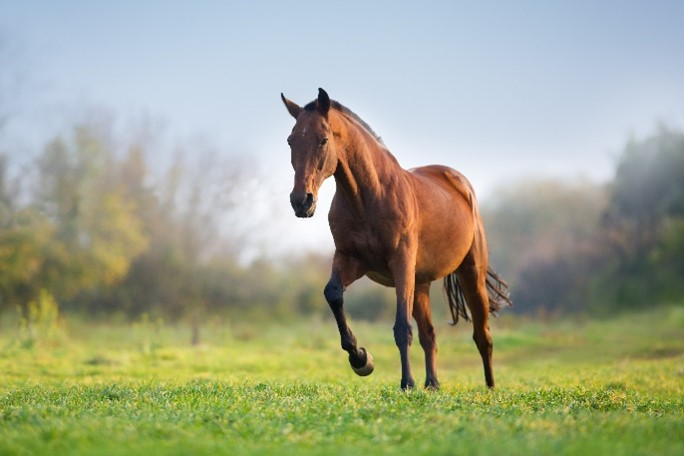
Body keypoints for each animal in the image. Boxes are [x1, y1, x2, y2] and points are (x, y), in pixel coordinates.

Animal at [281, 88, 512, 389]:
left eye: (323, 139)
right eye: (291, 141)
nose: (301, 201)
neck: (368, 197)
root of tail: (460, 183)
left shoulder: (400, 262)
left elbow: (402, 327)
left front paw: (406, 383)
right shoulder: (349, 259)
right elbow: (333, 294)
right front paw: (361, 359)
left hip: (470, 274)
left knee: (482, 335)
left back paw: (489, 387)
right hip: (421, 284)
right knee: (430, 335)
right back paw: (432, 384)